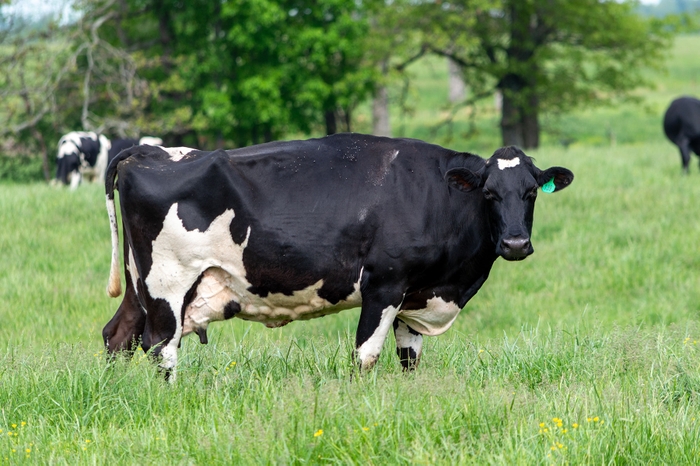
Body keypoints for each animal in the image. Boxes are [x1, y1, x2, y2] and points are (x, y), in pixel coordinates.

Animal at [102, 132, 576, 378]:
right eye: (489, 193)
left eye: (531, 192)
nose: (515, 243)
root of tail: (147, 150)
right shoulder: (385, 285)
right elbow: (366, 354)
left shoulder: (416, 293)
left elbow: (409, 357)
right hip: (167, 282)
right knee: (161, 346)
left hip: (139, 284)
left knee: (118, 334)